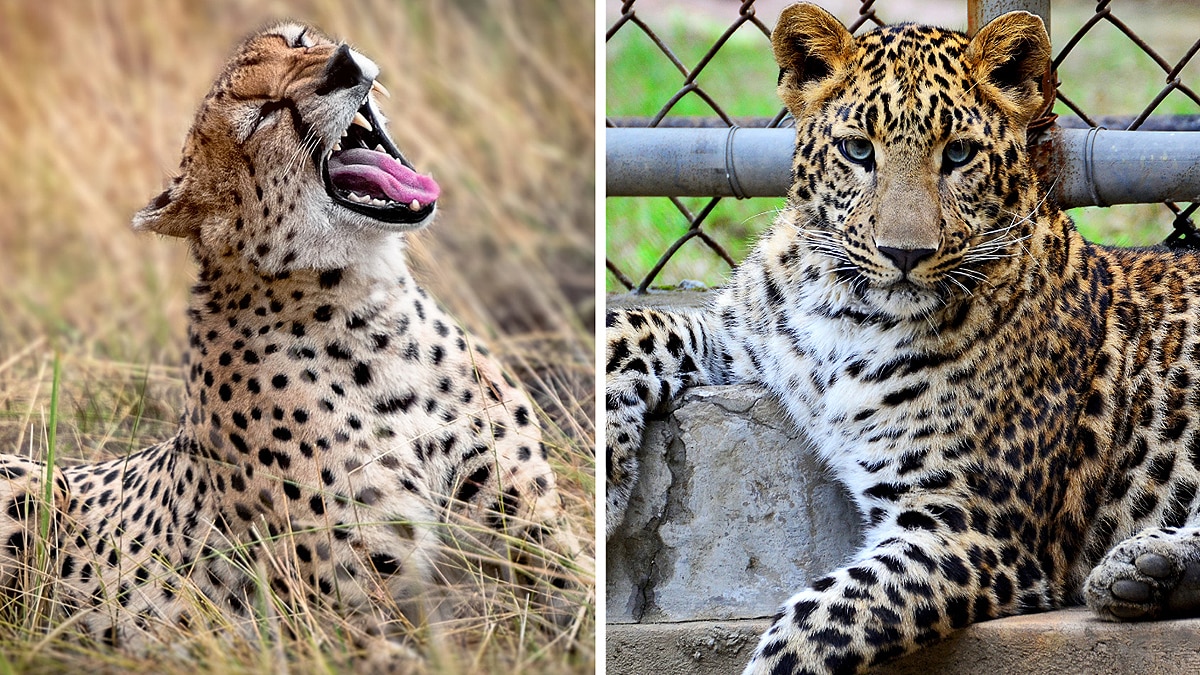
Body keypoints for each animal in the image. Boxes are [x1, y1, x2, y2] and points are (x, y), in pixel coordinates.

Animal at [0, 21, 587, 661]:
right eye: (263, 115)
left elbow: (578, 597)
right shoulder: (347, 625)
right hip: (29, 487)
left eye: (298, 39)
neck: (373, 314)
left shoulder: (528, 527)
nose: (343, 65)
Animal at [605, 3, 1200, 673]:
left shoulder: (969, 531)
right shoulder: (742, 336)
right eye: (858, 150)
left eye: (959, 153)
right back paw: (1146, 572)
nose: (905, 254)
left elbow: (813, 625)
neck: (848, 313)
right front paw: (601, 474)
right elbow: (630, 326)